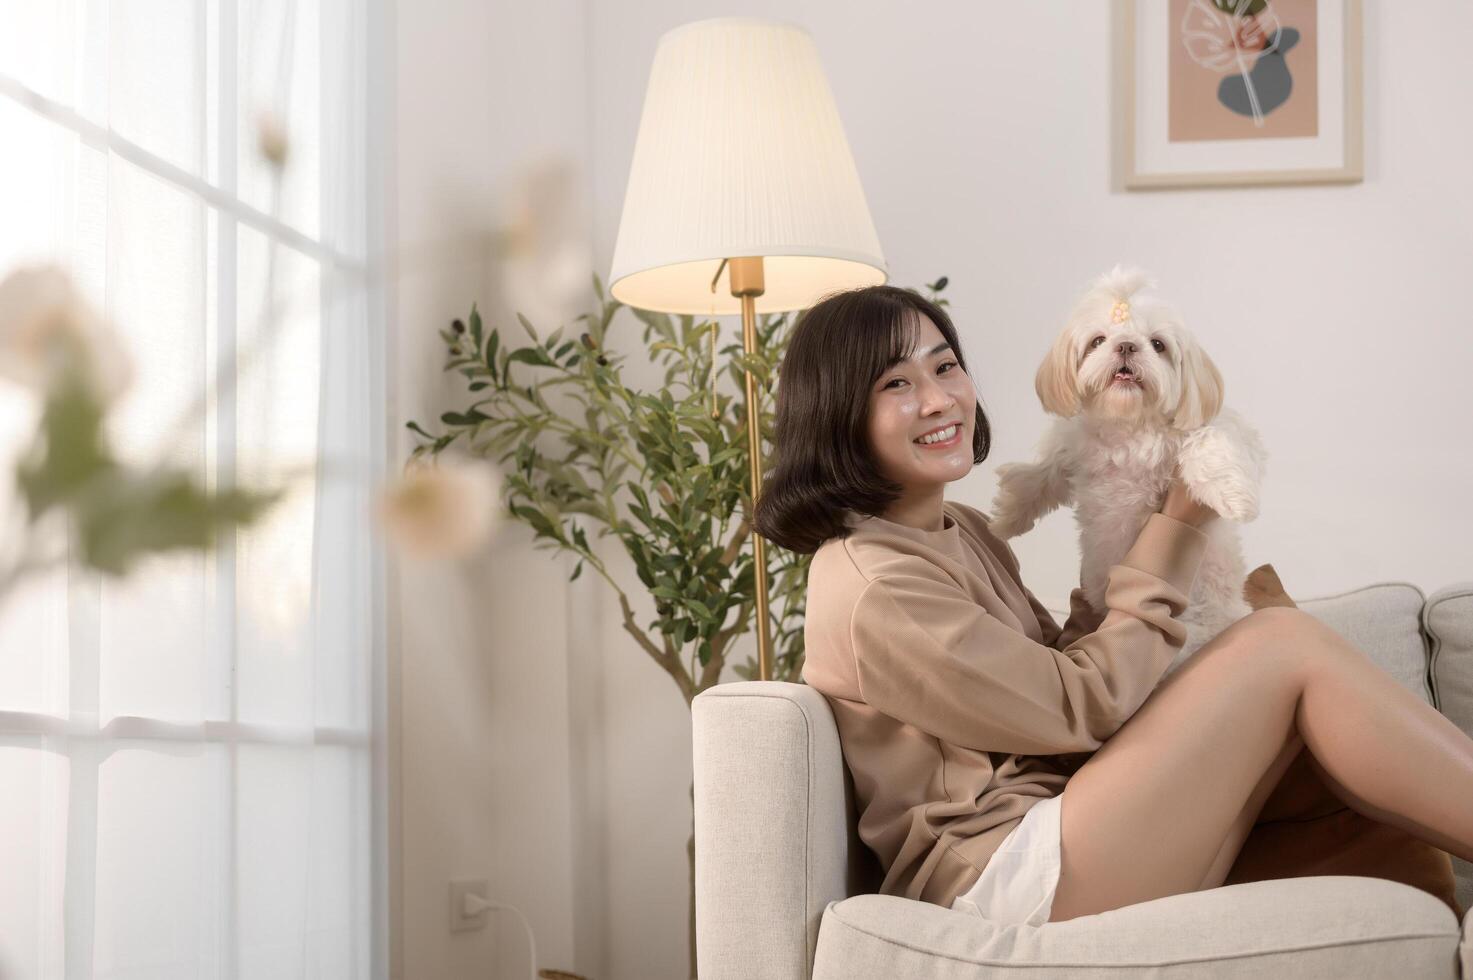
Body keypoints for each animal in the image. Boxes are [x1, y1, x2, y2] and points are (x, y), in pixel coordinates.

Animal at [989, 263, 1266, 677]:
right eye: (1098, 340)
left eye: (1157, 344)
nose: (1125, 345)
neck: (1128, 426)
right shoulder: (1072, 448)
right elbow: (1042, 474)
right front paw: (1005, 518)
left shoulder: (1215, 429)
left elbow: (1210, 440)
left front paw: (1233, 499)